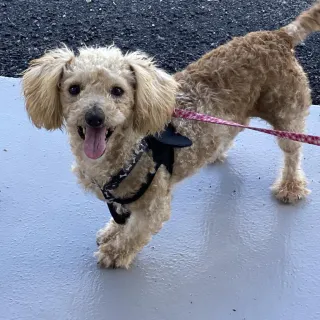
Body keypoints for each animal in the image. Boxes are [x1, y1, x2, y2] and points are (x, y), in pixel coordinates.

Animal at [22, 1, 320, 268]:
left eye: (117, 91)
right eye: (74, 89)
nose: (95, 116)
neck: (132, 149)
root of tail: (279, 36)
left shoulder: (154, 203)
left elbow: (135, 232)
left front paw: (115, 253)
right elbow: (122, 220)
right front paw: (110, 232)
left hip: (287, 112)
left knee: (293, 153)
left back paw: (290, 187)